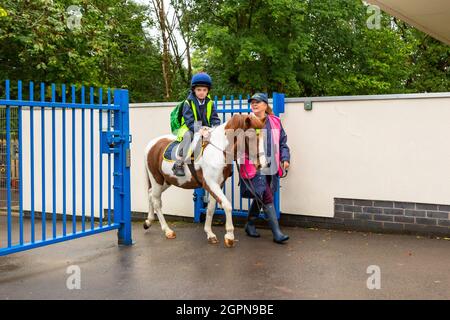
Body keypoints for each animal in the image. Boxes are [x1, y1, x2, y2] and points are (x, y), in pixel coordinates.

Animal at [144, 114, 264, 249]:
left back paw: (148, 221)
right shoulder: (211, 184)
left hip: (165, 181)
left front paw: (210, 234)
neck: (218, 149)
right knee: (156, 202)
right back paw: (167, 230)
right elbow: (227, 205)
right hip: (156, 179)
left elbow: (211, 208)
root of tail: (151, 144)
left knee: (150, 194)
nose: (263, 164)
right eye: (251, 137)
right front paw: (229, 236)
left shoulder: (218, 184)